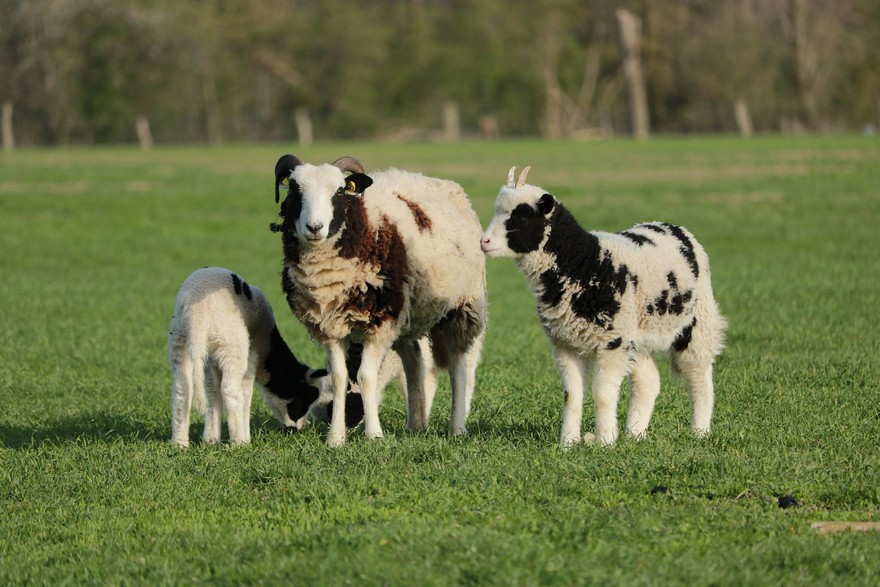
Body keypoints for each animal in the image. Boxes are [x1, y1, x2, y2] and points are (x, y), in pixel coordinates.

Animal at [168, 267, 330, 447]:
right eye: (305, 398)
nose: (297, 429)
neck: (268, 350)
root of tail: (197, 315)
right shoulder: (253, 353)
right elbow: (245, 391)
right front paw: (245, 436)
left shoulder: (212, 361)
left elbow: (212, 391)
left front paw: (211, 440)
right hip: (232, 343)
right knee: (231, 390)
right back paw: (239, 442)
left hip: (181, 340)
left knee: (183, 388)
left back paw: (180, 443)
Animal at [271, 155, 487, 447]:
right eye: (294, 190)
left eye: (339, 191)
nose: (314, 228)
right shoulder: (330, 326)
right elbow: (339, 377)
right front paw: (335, 439)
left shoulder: (380, 321)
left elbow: (365, 376)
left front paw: (374, 434)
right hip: (409, 317)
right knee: (415, 362)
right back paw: (417, 424)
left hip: (462, 307)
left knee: (458, 365)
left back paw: (457, 427)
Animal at [480, 167, 726, 448]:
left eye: (520, 216)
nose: (483, 242)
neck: (585, 263)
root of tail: (675, 228)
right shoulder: (566, 343)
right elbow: (572, 395)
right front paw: (568, 444)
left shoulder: (612, 342)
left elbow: (602, 395)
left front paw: (605, 442)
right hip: (637, 334)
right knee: (648, 382)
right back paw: (634, 435)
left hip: (698, 320)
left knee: (699, 375)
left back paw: (700, 431)